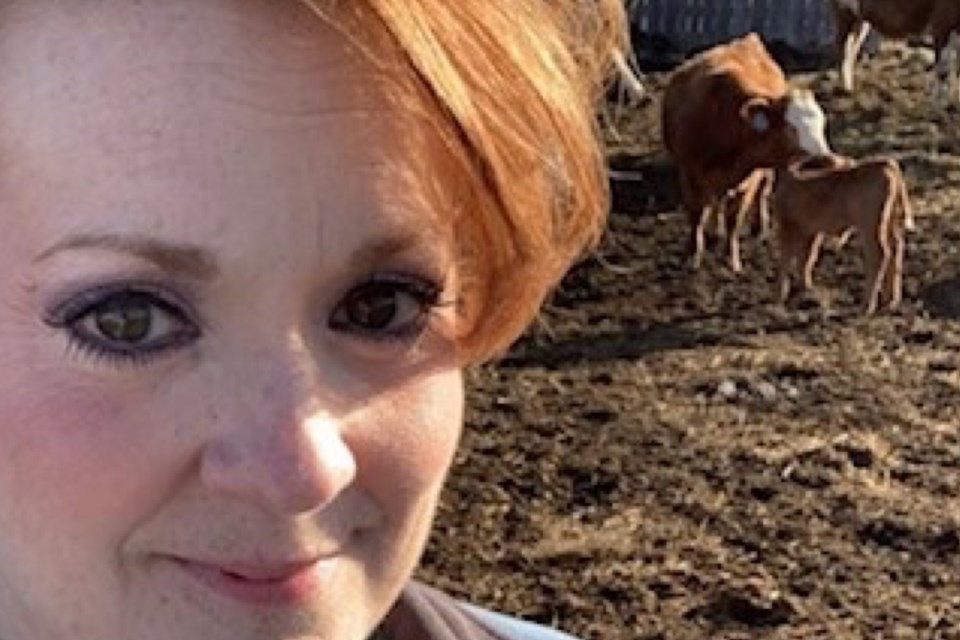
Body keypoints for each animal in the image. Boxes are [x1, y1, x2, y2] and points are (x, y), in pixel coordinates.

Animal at [660, 33, 832, 270]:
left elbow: (734, 219)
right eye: (789, 127)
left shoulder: (748, 179)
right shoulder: (689, 176)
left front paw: (731, 261)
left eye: (822, 125)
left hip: (766, 171)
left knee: (762, 191)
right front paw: (693, 254)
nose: (823, 160)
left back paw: (758, 227)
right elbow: (696, 216)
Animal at [764, 155, 916, 316]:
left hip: (870, 225)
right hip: (888, 223)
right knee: (896, 247)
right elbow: (806, 259)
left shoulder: (789, 227)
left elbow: (787, 258)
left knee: (879, 254)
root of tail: (886, 163)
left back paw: (867, 306)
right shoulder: (810, 231)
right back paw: (891, 301)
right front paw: (806, 290)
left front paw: (779, 294)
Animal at [824, 0, 960, 101]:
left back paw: (849, 88)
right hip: (845, 11)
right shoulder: (942, 21)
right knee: (842, 47)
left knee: (852, 48)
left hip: (860, 18)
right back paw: (846, 90)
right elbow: (943, 67)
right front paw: (940, 101)